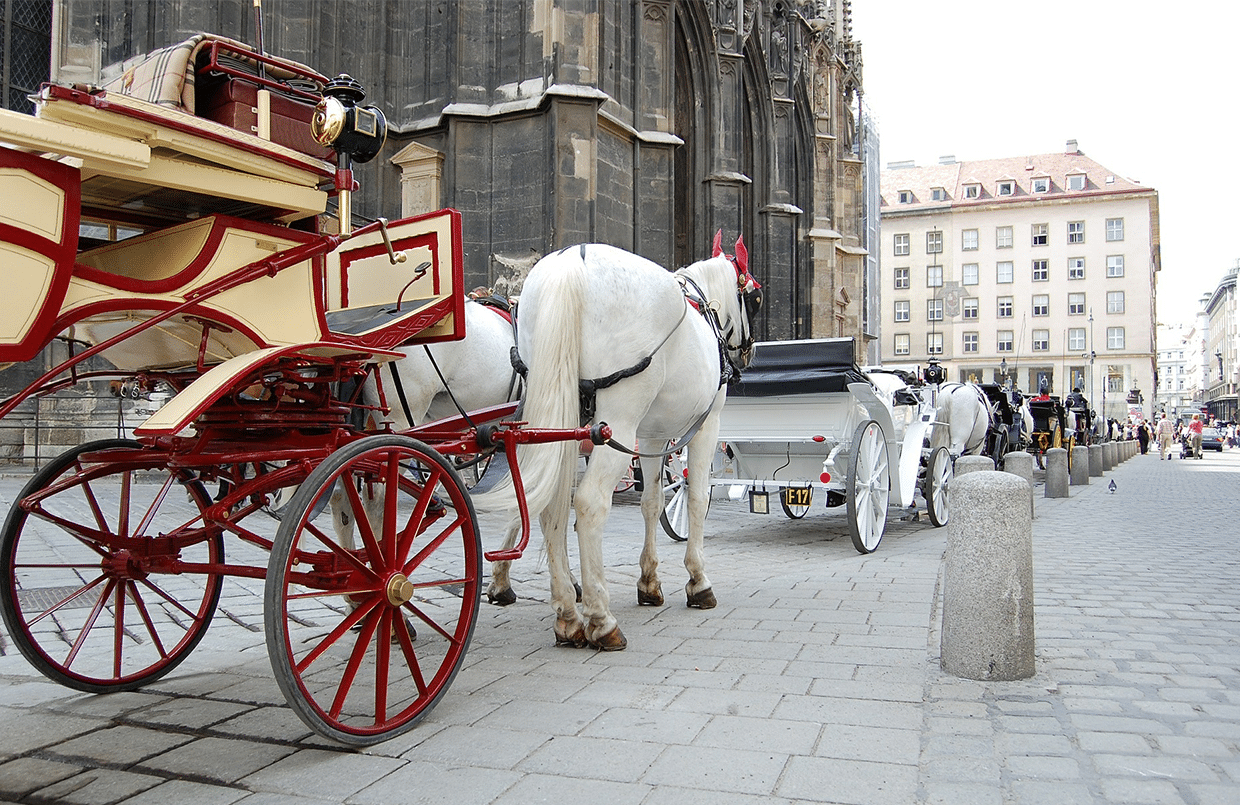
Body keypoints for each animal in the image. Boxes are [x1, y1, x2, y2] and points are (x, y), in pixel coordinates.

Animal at [476, 235, 758, 649]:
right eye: (754, 297)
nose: (749, 351)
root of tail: (571, 264)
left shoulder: (653, 434)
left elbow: (652, 502)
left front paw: (649, 582)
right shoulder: (706, 425)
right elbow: (696, 498)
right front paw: (698, 581)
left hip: (559, 417)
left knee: (547, 503)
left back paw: (567, 614)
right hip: (616, 424)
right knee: (589, 503)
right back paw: (600, 618)